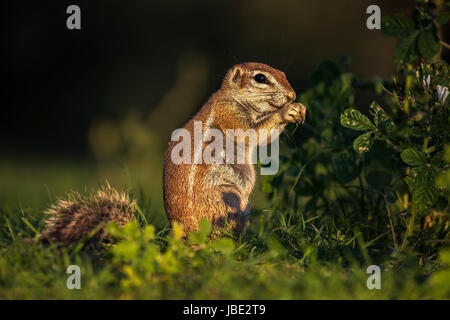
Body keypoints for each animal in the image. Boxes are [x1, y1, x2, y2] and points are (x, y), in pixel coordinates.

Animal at [40, 62, 306, 242]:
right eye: (261, 78)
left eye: (283, 74)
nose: (292, 94)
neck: (232, 97)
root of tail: (186, 236)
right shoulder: (231, 117)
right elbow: (254, 133)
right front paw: (287, 111)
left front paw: (298, 108)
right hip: (230, 199)